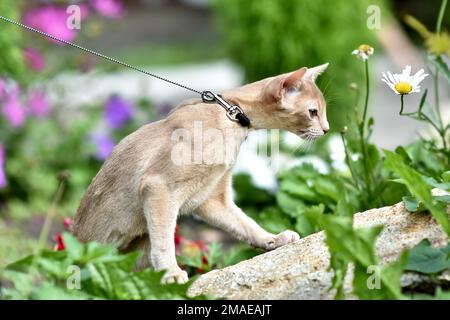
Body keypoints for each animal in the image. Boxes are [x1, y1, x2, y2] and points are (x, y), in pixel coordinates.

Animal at [72, 62, 328, 282]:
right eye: (313, 112)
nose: (327, 129)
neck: (231, 116)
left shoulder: (212, 199)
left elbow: (245, 223)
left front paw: (272, 239)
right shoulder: (158, 187)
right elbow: (164, 240)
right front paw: (171, 272)